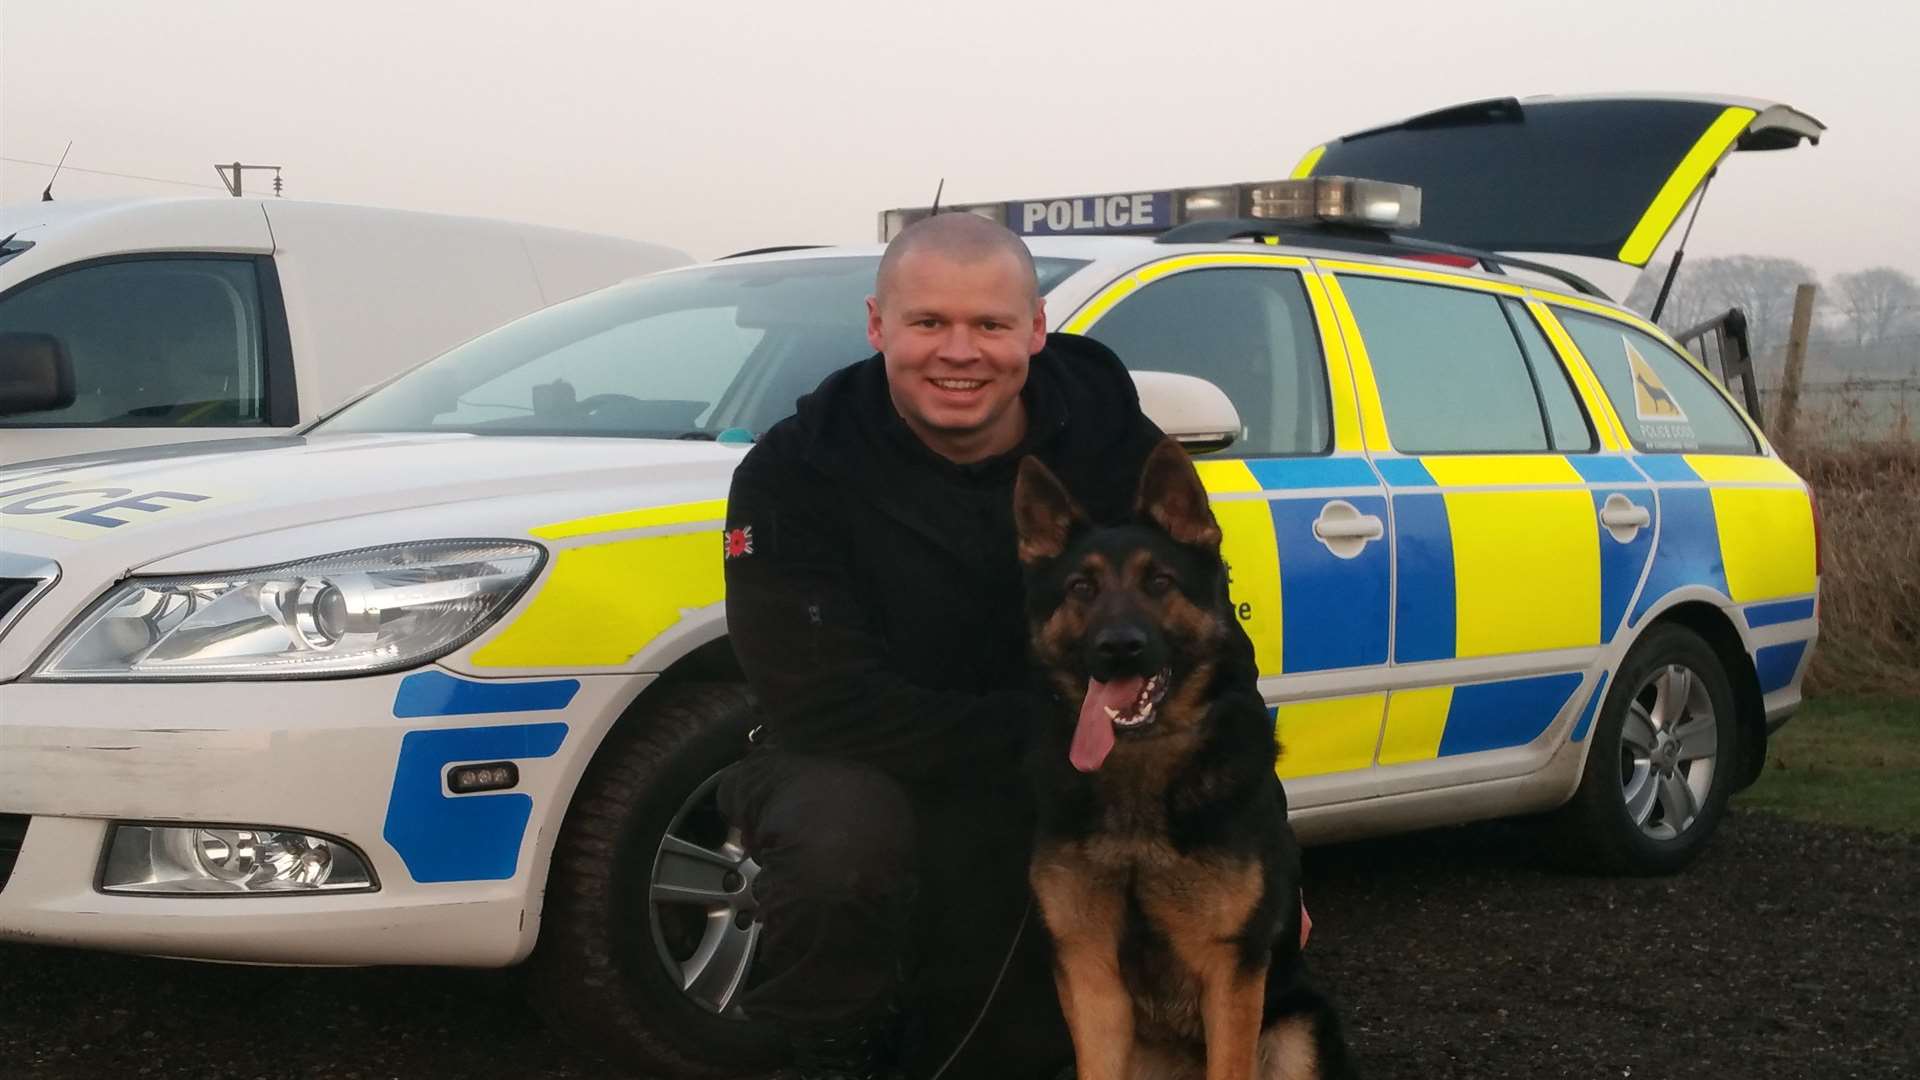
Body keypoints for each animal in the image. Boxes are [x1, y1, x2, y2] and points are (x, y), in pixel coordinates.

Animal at [1013, 440, 1359, 1076]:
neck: (1138, 772)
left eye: (1159, 581)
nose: (1118, 648)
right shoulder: (1088, 973)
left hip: (1297, 1033)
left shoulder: (1230, 973)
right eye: (1081, 589)